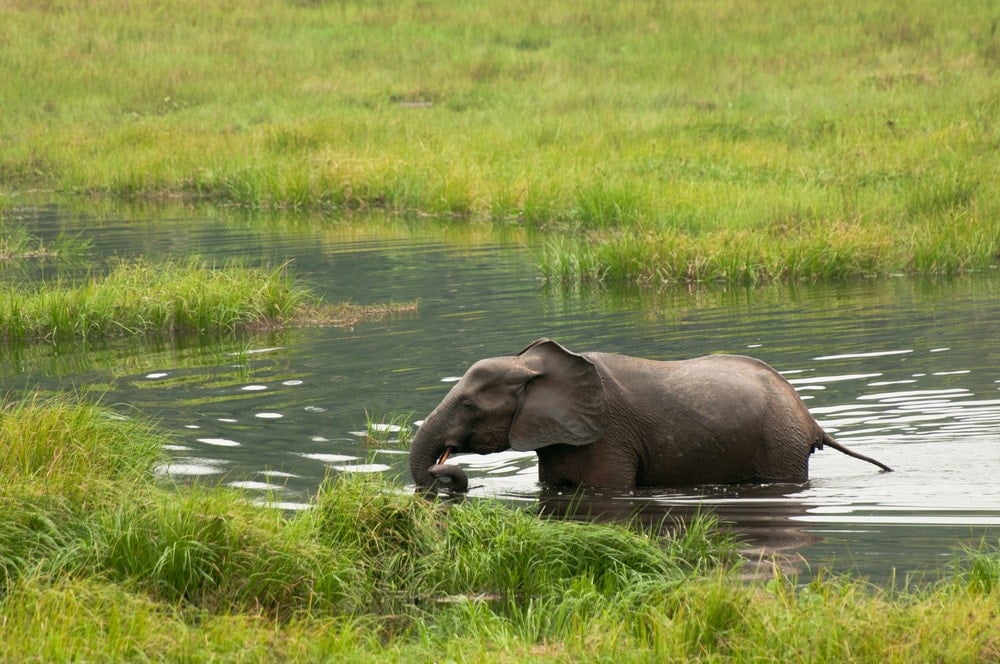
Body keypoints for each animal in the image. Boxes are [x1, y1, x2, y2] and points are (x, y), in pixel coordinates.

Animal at [409, 338, 892, 493]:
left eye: (469, 406)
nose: (443, 468)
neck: (531, 367)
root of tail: (809, 419)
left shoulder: (606, 437)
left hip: (779, 445)